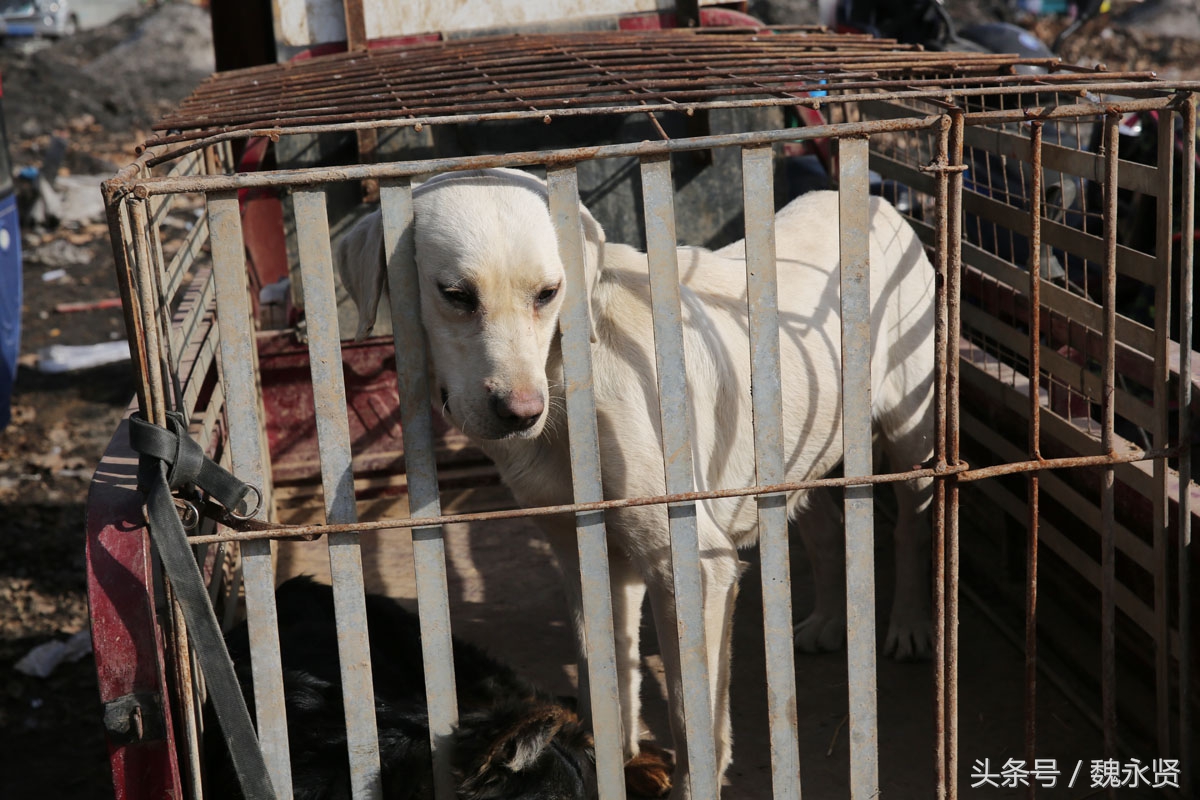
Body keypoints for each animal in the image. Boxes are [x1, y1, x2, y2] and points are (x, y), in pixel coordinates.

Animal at [336, 167, 936, 796]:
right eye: (455, 295)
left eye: (547, 294)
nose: (521, 413)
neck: (568, 386)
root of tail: (878, 201)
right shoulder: (586, 556)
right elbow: (606, 674)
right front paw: (609, 764)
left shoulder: (691, 566)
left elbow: (692, 715)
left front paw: (694, 784)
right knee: (822, 531)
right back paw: (827, 621)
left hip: (910, 434)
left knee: (911, 529)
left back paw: (910, 625)